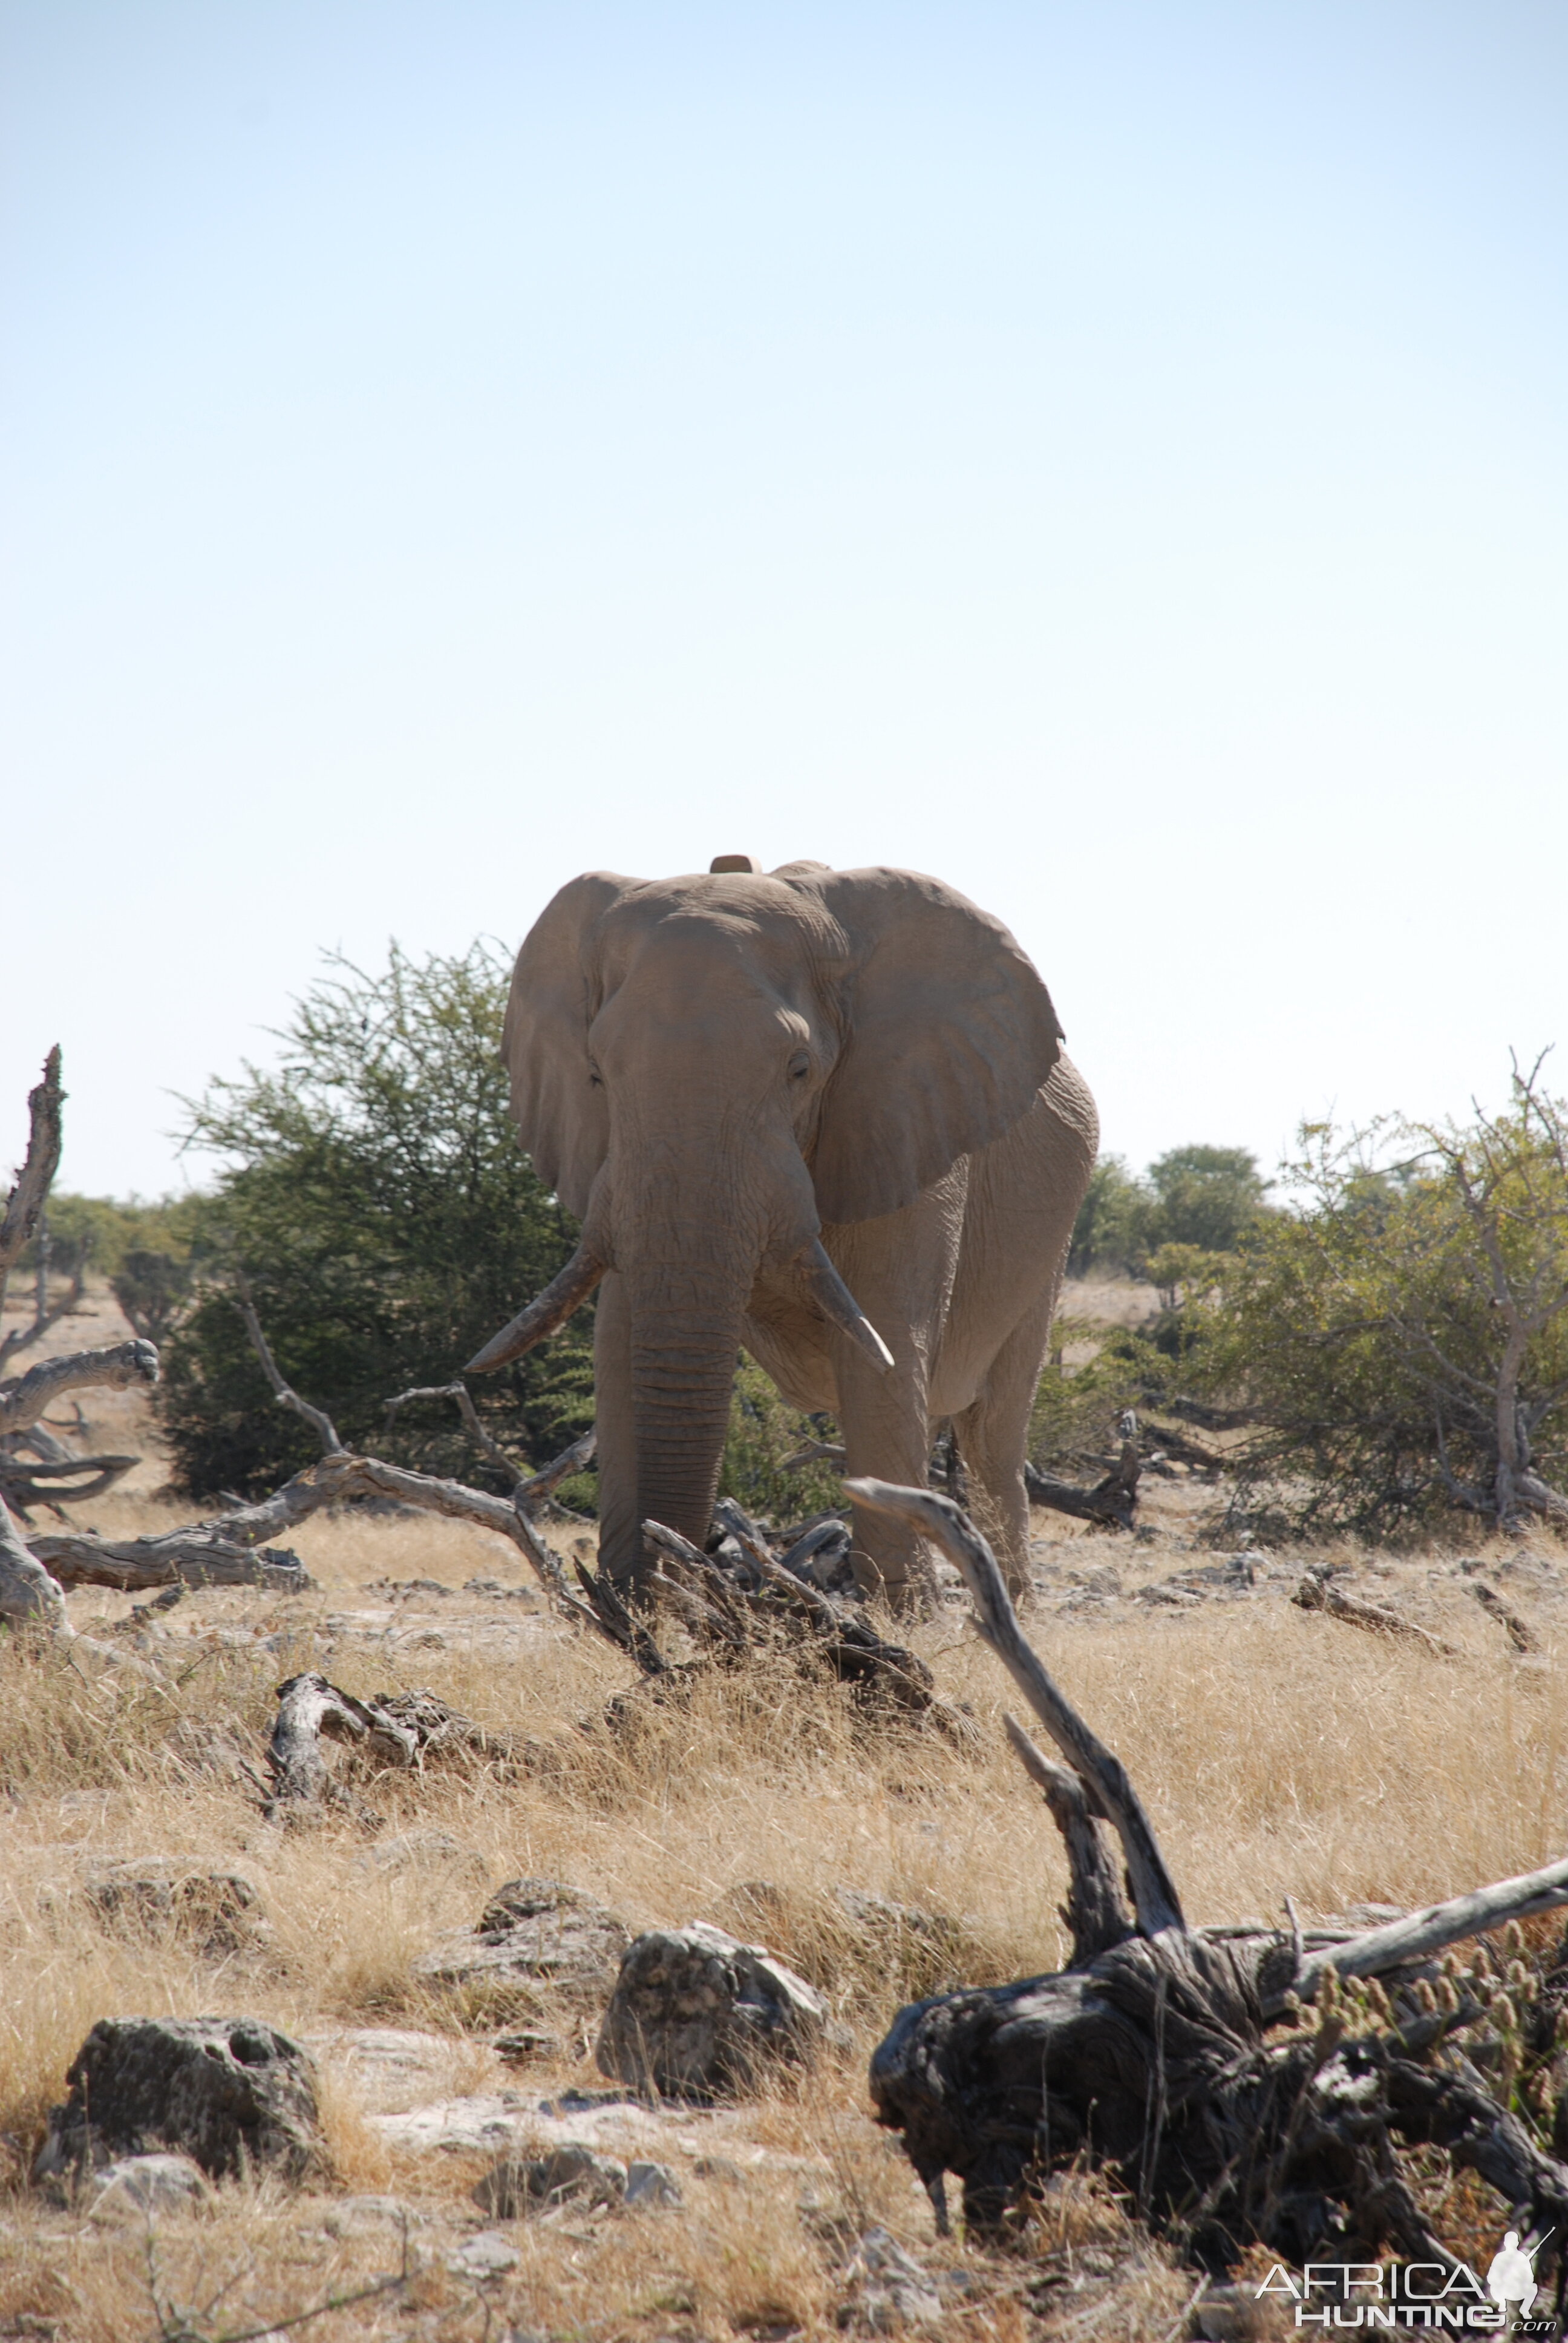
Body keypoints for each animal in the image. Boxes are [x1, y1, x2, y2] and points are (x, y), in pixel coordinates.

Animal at [471, 862, 1097, 1611]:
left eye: (800, 1069)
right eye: (595, 1073)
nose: (676, 1568)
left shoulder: (910, 1125)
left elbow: (885, 1354)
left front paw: (907, 1620)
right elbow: (618, 1347)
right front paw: (631, 1609)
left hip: (1052, 1242)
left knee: (993, 1433)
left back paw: (1014, 1608)